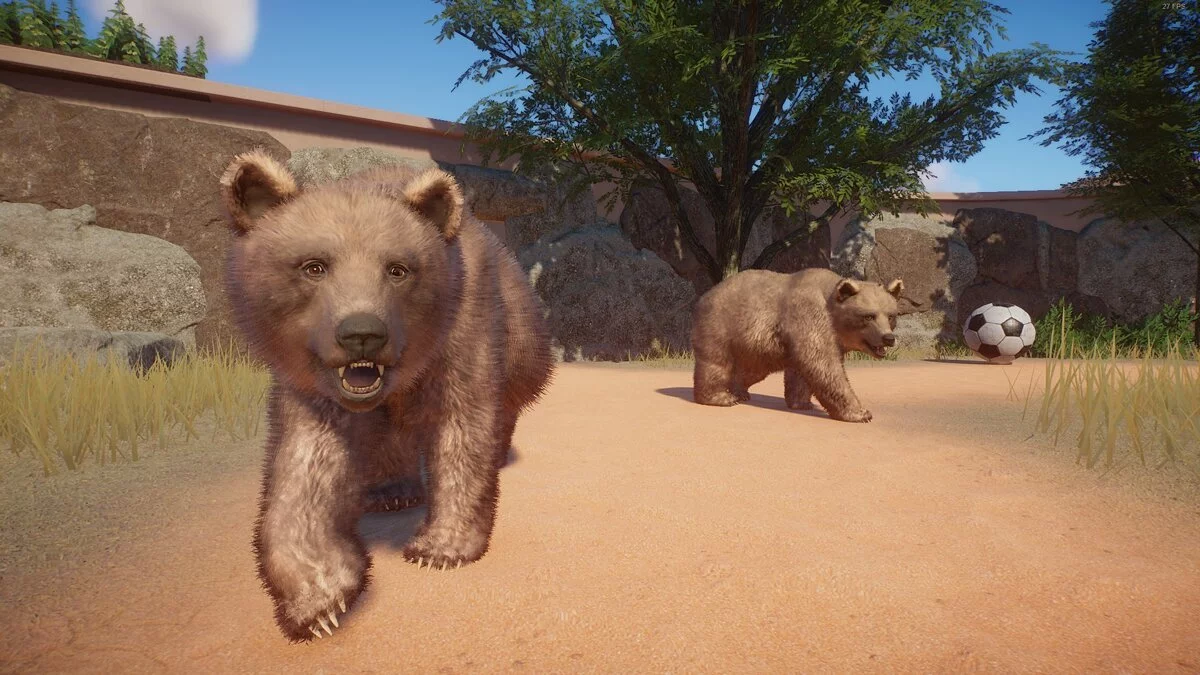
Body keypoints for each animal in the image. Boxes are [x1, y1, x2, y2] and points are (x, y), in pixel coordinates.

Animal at [218, 149, 555, 642]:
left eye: (398, 269)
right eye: (314, 265)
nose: (362, 333)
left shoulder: (466, 328)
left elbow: (463, 426)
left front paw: (441, 547)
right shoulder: (312, 383)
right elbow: (305, 467)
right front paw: (319, 600)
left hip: (521, 342)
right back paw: (391, 490)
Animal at [690, 267, 903, 423]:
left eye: (891, 315)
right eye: (869, 316)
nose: (888, 338)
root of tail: (705, 295)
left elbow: (802, 371)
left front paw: (802, 403)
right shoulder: (809, 315)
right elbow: (824, 365)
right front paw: (861, 412)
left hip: (751, 347)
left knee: (749, 370)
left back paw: (739, 392)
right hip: (722, 325)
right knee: (716, 362)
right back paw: (720, 397)